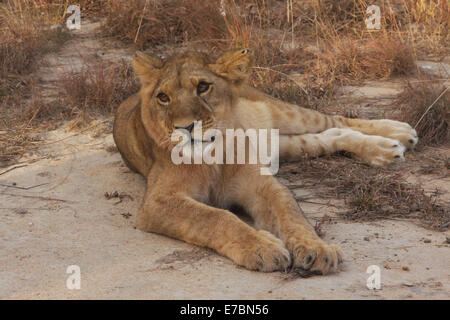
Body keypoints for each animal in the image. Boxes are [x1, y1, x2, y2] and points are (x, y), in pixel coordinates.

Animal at [113, 48, 418, 274]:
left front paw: (317, 248)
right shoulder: (157, 202)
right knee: (330, 134)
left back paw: (398, 134)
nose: (185, 127)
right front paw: (263, 248)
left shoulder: (262, 184)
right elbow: (216, 217)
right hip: (283, 144)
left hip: (285, 113)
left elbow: (290, 212)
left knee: (334, 120)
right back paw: (388, 148)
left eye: (203, 87)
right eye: (163, 97)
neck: (213, 155)